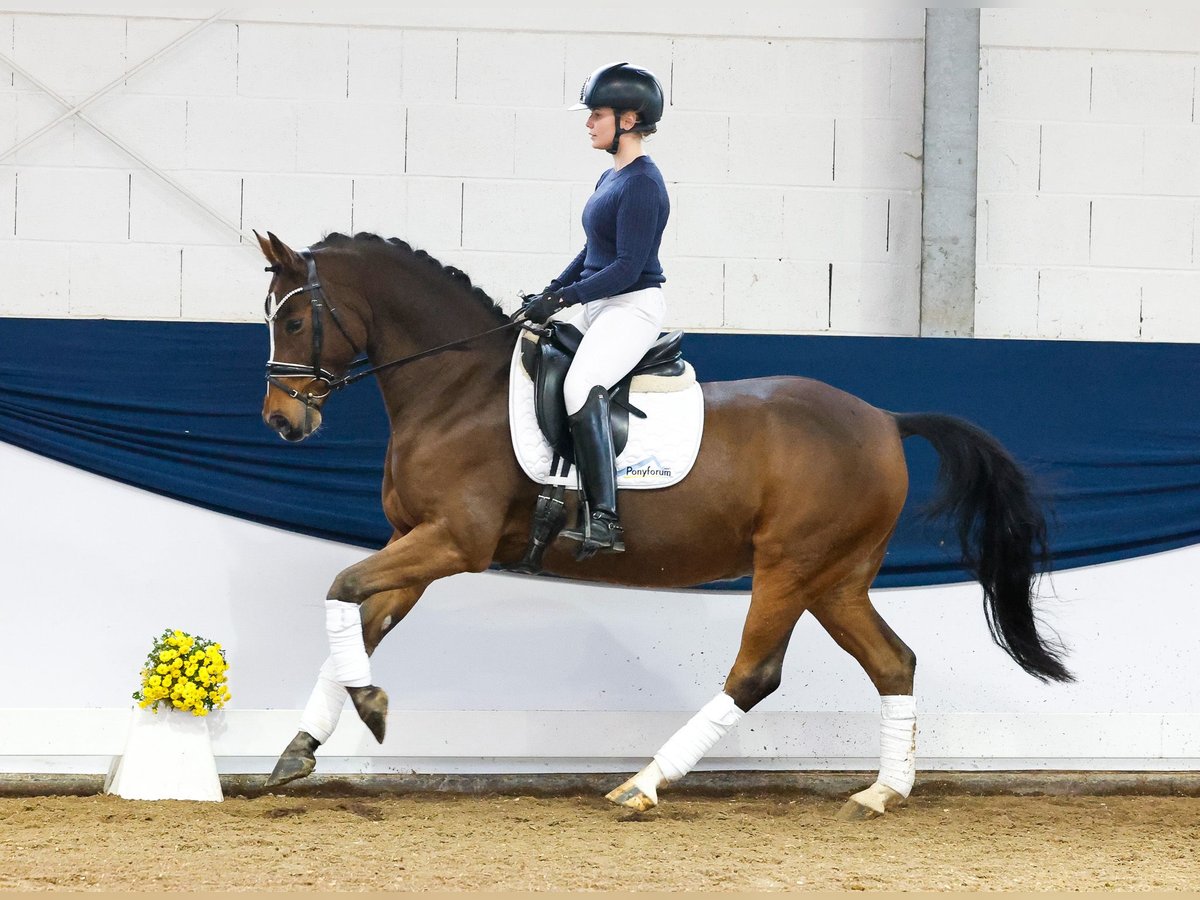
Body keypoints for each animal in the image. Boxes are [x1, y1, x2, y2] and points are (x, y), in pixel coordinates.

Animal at [253, 229, 1070, 820]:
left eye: (292, 319)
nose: (283, 422)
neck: (457, 390)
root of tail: (885, 420)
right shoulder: (414, 543)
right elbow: (357, 623)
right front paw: (299, 748)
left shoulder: (453, 541)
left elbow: (341, 587)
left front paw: (368, 709)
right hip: (835, 578)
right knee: (893, 663)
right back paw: (880, 792)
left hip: (790, 566)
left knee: (755, 673)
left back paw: (642, 785)